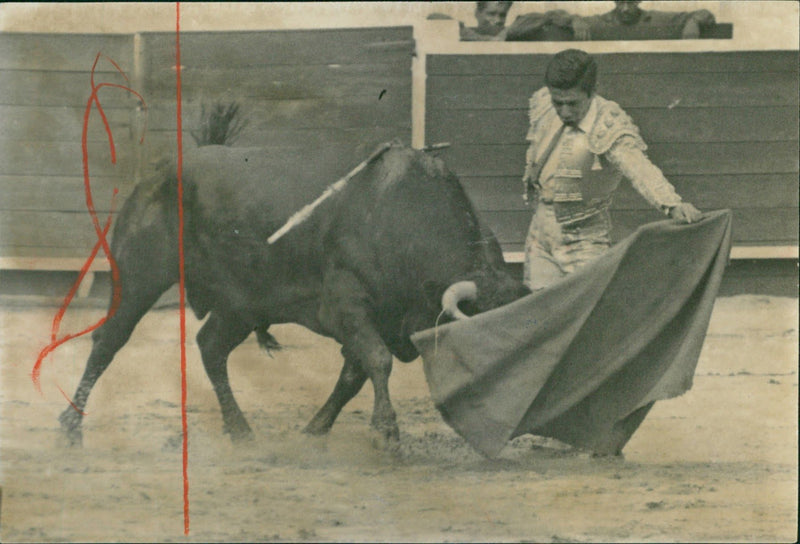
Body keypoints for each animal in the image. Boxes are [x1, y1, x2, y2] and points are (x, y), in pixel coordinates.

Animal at [59, 140, 528, 446]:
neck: (403, 218)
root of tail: (156, 173)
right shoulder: (347, 304)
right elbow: (377, 361)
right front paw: (387, 433)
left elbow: (355, 373)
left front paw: (316, 428)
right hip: (139, 277)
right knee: (109, 340)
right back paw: (71, 423)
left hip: (241, 302)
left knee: (211, 347)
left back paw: (240, 429)